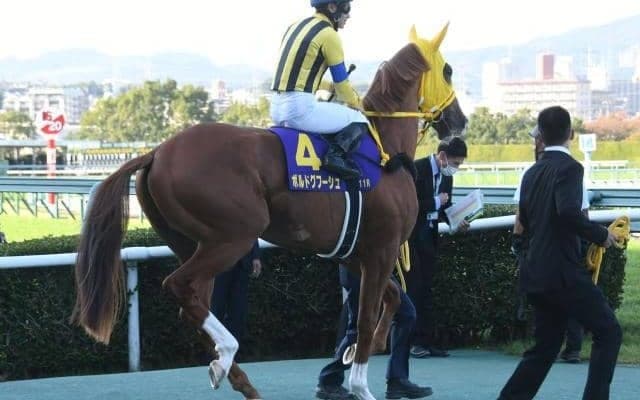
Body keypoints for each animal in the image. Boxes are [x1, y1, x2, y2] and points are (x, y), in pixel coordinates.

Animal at [72, 24, 466, 400]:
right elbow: (367, 318)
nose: (459, 120)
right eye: (447, 70)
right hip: (233, 236)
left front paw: (356, 352)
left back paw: (236, 376)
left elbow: (393, 299)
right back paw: (228, 351)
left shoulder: (354, 253)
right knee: (180, 286)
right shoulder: (381, 250)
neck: (384, 151)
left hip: (189, 242)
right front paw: (360, 386)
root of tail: (156, 152)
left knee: (193, 303)